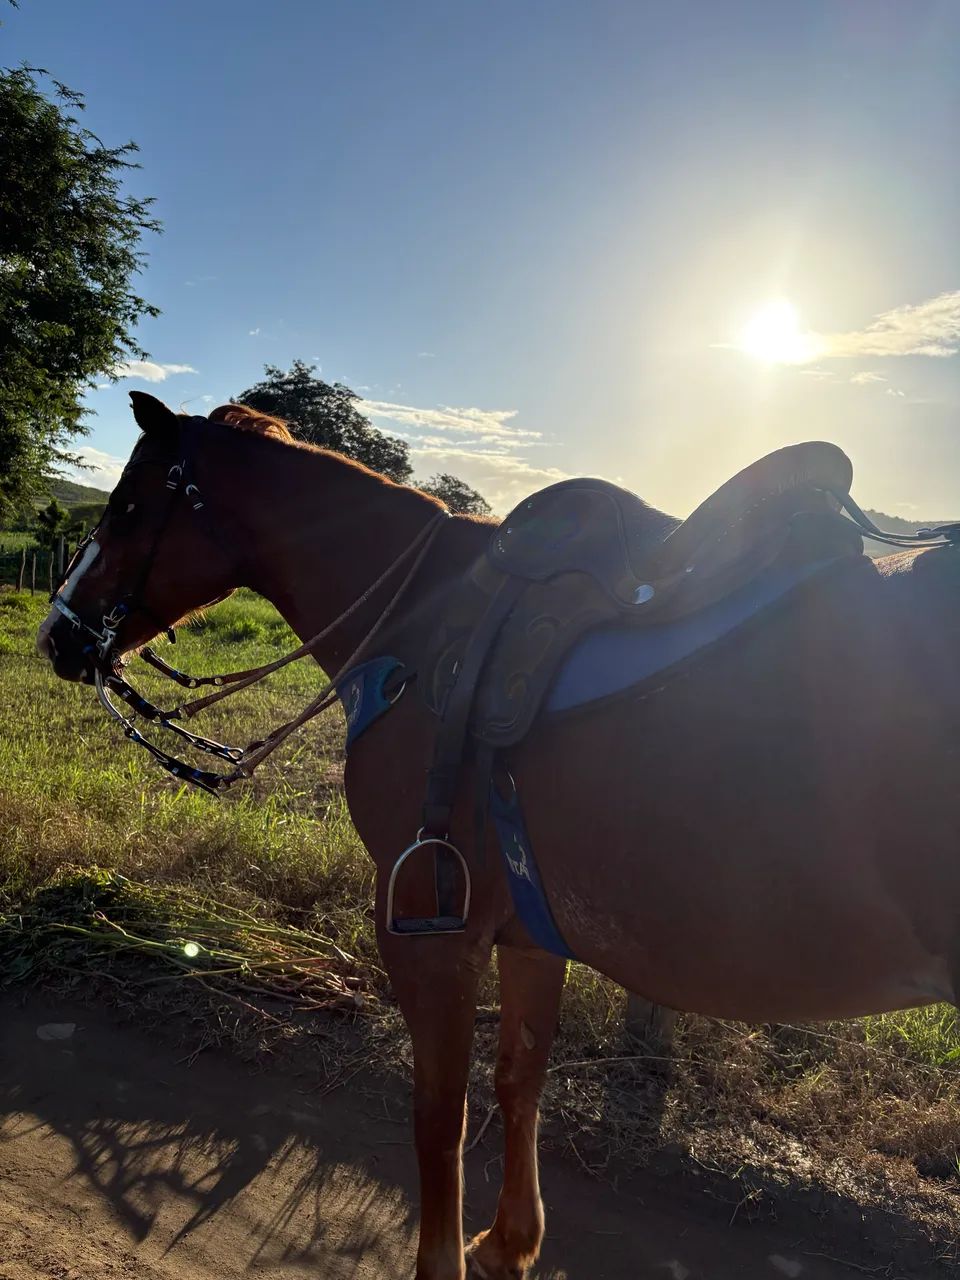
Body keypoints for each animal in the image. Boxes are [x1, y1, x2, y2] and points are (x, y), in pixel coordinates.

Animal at [37, 391, 960, 1280]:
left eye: (127, 507)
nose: (59, 635)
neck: (421, 623)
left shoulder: (428, 925)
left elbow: (439, 1114)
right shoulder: (526, 927)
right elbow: (520, 1080)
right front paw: (510, 1241)